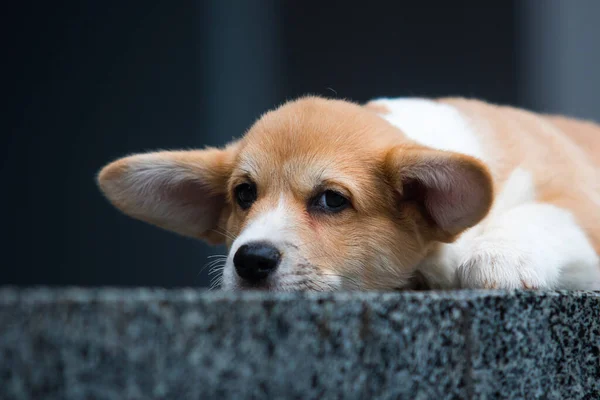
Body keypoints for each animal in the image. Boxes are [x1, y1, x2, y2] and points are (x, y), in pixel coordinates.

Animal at [96, 96, 600, 290]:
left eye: (332, 200)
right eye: (243, 193)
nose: (250, 261)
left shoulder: (578, 211)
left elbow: (546, 215)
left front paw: (500, 256)